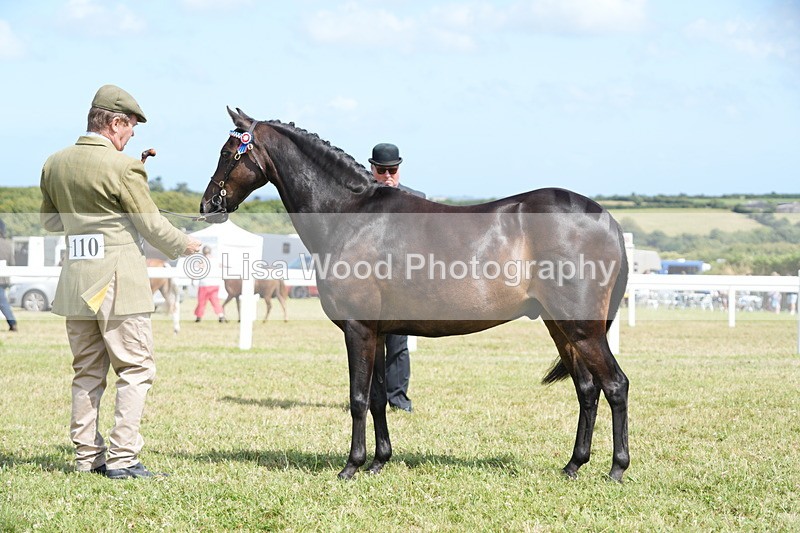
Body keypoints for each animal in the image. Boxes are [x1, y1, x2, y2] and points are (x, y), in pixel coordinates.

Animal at [199, 108, 631, 482]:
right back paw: (573, 465)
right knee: (587, 390)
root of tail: (606, 220)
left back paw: (616, 469)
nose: (208, 204)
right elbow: (376, 398)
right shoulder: (377, 332)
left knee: (615, 385)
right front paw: (378, 461)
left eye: (226, 153)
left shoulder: (357, 328)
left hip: (582, 328)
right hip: (561, 327)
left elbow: (357, 398)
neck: (351, 215)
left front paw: (351, 466)